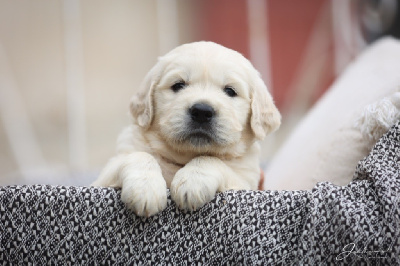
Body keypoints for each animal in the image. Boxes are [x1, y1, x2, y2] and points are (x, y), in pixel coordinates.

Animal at [93, 41, 282, 216]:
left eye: (230, 91)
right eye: (178, 85)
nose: (202, 112)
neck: (184, 158)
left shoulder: (246, 180)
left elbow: (210, 159)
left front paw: (192, 181)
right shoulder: (102, 179)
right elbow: (138, 156)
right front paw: (145, 189)